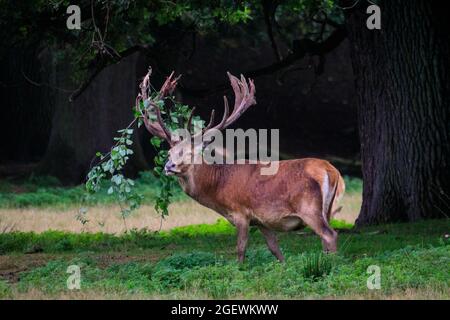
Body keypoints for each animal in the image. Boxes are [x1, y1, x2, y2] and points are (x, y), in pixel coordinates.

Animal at [135, 69, 346, 262]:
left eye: (190, 153)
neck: (218, 188)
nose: (169, 166)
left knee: (330, 235)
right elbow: (275, 249)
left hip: (309, 207)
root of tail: (332, 171)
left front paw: (239, 269)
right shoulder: (261, 221)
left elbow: (241, 249)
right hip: (327, 209)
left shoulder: (241, 213)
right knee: (325, 238)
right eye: (169, 153)